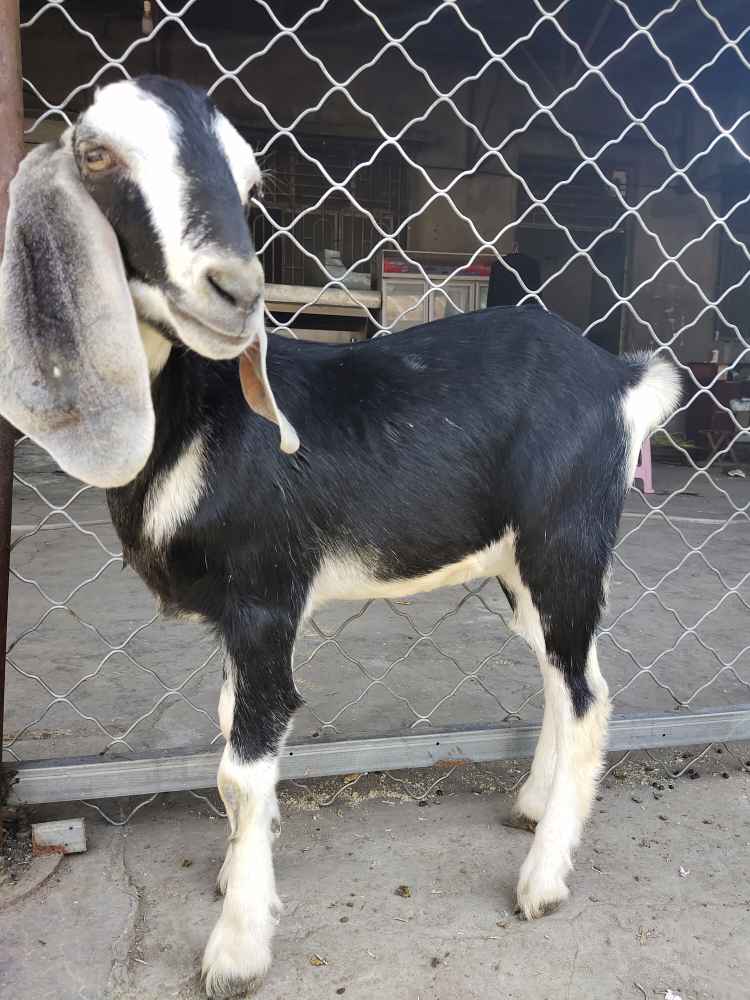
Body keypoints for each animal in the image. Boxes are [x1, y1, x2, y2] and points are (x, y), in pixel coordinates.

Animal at [0, 76, 680, 992]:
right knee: (567, 677)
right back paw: (534, 807)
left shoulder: (265, 600)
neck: (202, 421)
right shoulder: (238, 619)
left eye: (251, 183)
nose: (233, 291)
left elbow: (241, 767)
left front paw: (236, 948)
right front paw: (236, 873)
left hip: (564, 539)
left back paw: (542, 880)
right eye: (97, 154)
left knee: (586, 696)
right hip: (522, 564)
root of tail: (618, 379)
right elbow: (228, 731)